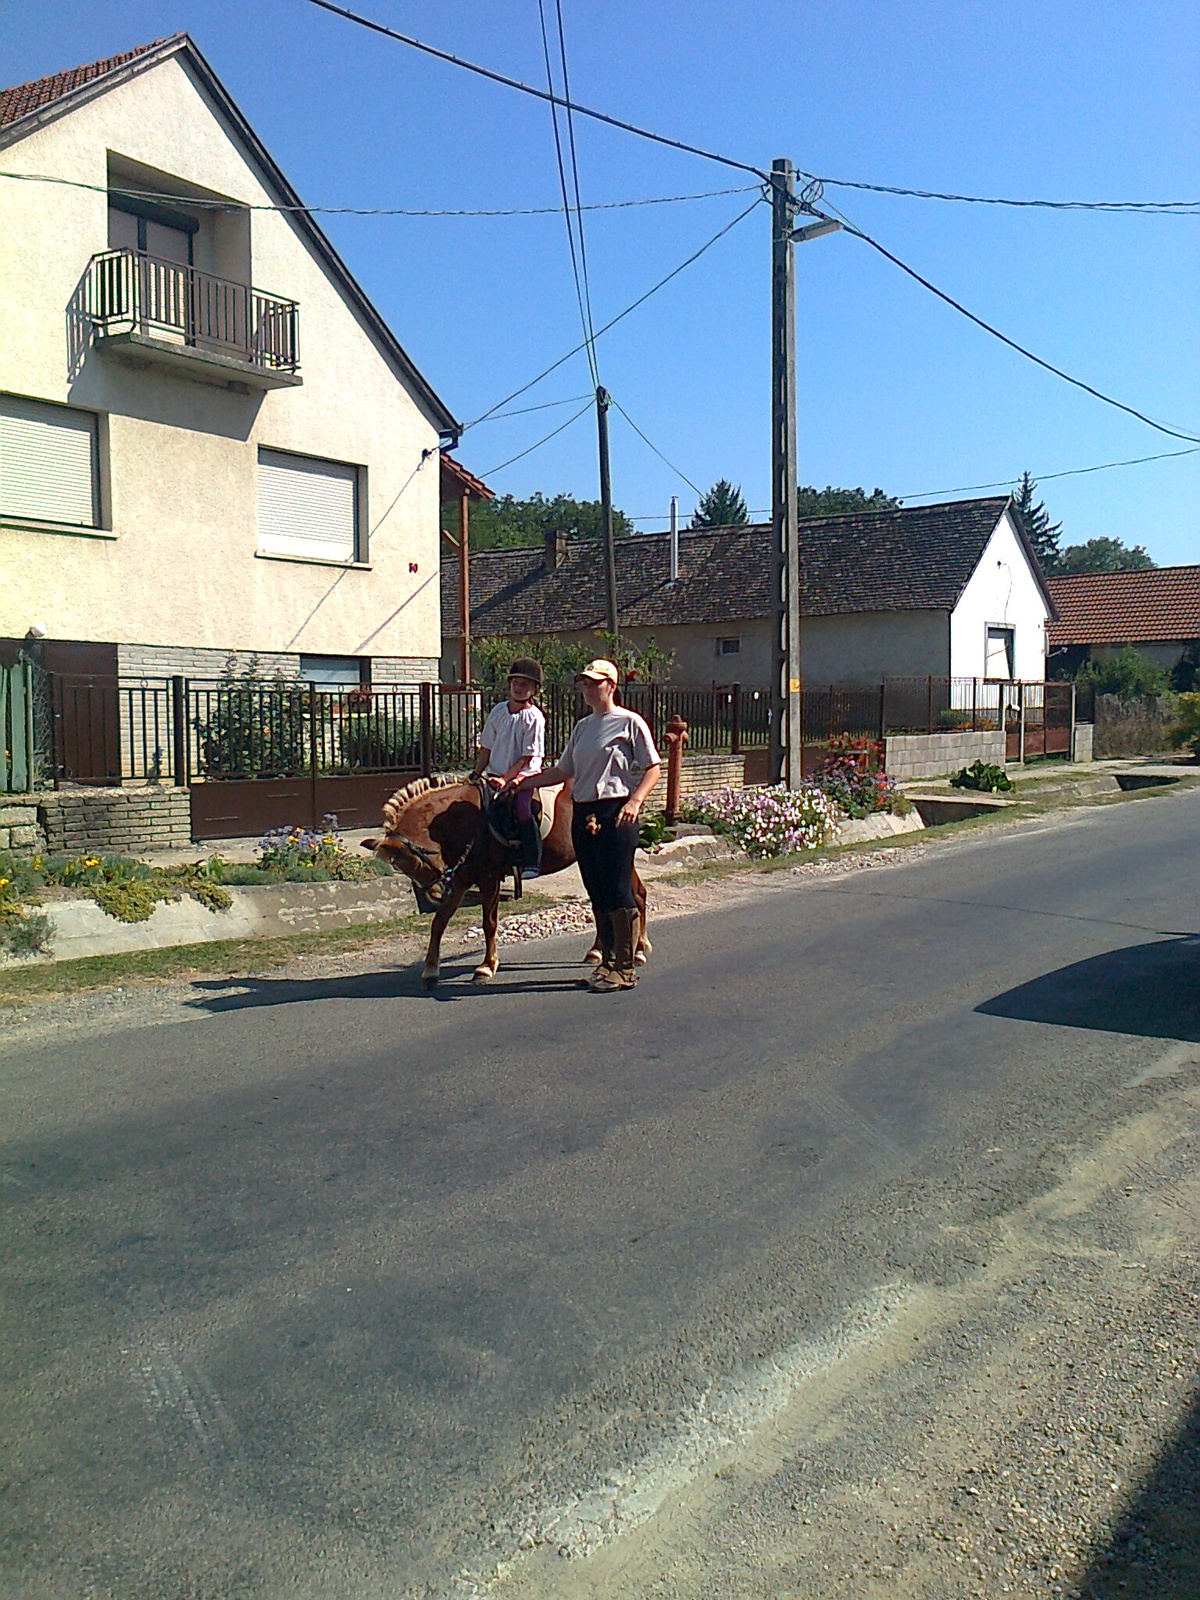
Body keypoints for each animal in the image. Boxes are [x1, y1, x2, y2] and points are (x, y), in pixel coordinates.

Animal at [361, 777, 652, 985]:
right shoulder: (462, 880)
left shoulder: (489, 878)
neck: (466, 821)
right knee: (602, 903)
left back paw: (638, 949)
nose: (435, 893)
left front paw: (486, 967)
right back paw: (599, 952)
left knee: (636, 894)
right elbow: (439, 922)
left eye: (416, 862)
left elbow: (489, 923)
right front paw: (431, 968)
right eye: (403, 869)